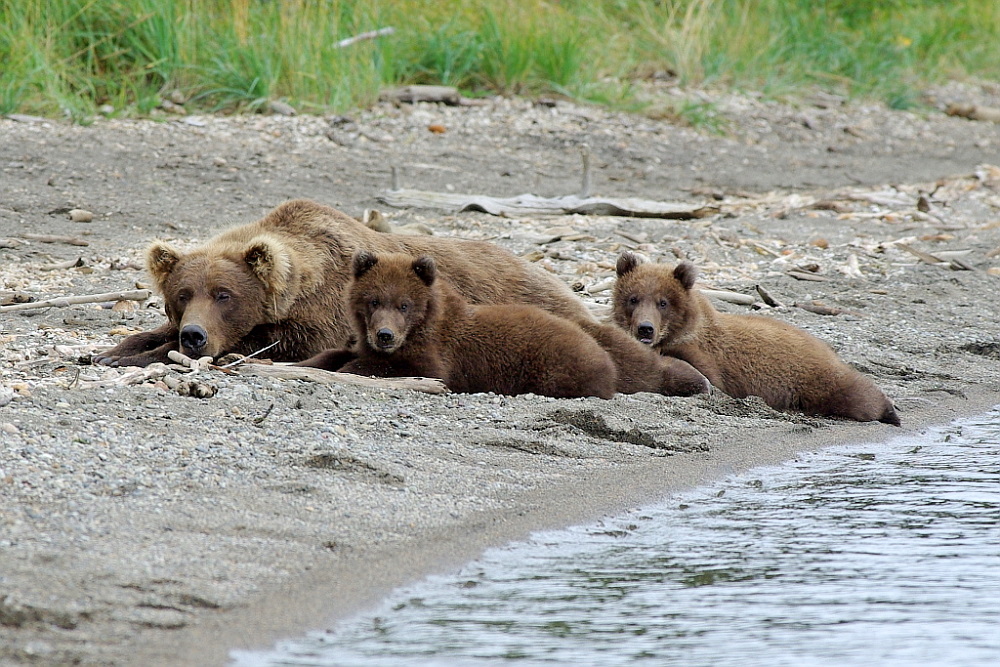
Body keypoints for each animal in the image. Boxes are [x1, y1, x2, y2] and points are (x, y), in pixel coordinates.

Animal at [92, 201, 592, 368]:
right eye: (181, 296)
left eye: (224, 295)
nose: (194, 335)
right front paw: (112, 351)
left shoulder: (325, 317)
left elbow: (274, 342)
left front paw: (133, 358)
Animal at [298, 252, 712, 400]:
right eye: (373, 301)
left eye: (405, 304)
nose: (385, 335)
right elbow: (337, 352)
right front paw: (306, 362)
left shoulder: (439, 353)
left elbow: (415, 369)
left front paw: (353, 367)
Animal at [612, 253, 904, 426]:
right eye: (633, 298)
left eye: (663, 302)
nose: (645, 329)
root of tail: (826, 347)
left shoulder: (708, 354)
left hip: (812, 376)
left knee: (852, 393)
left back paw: (889, 411)